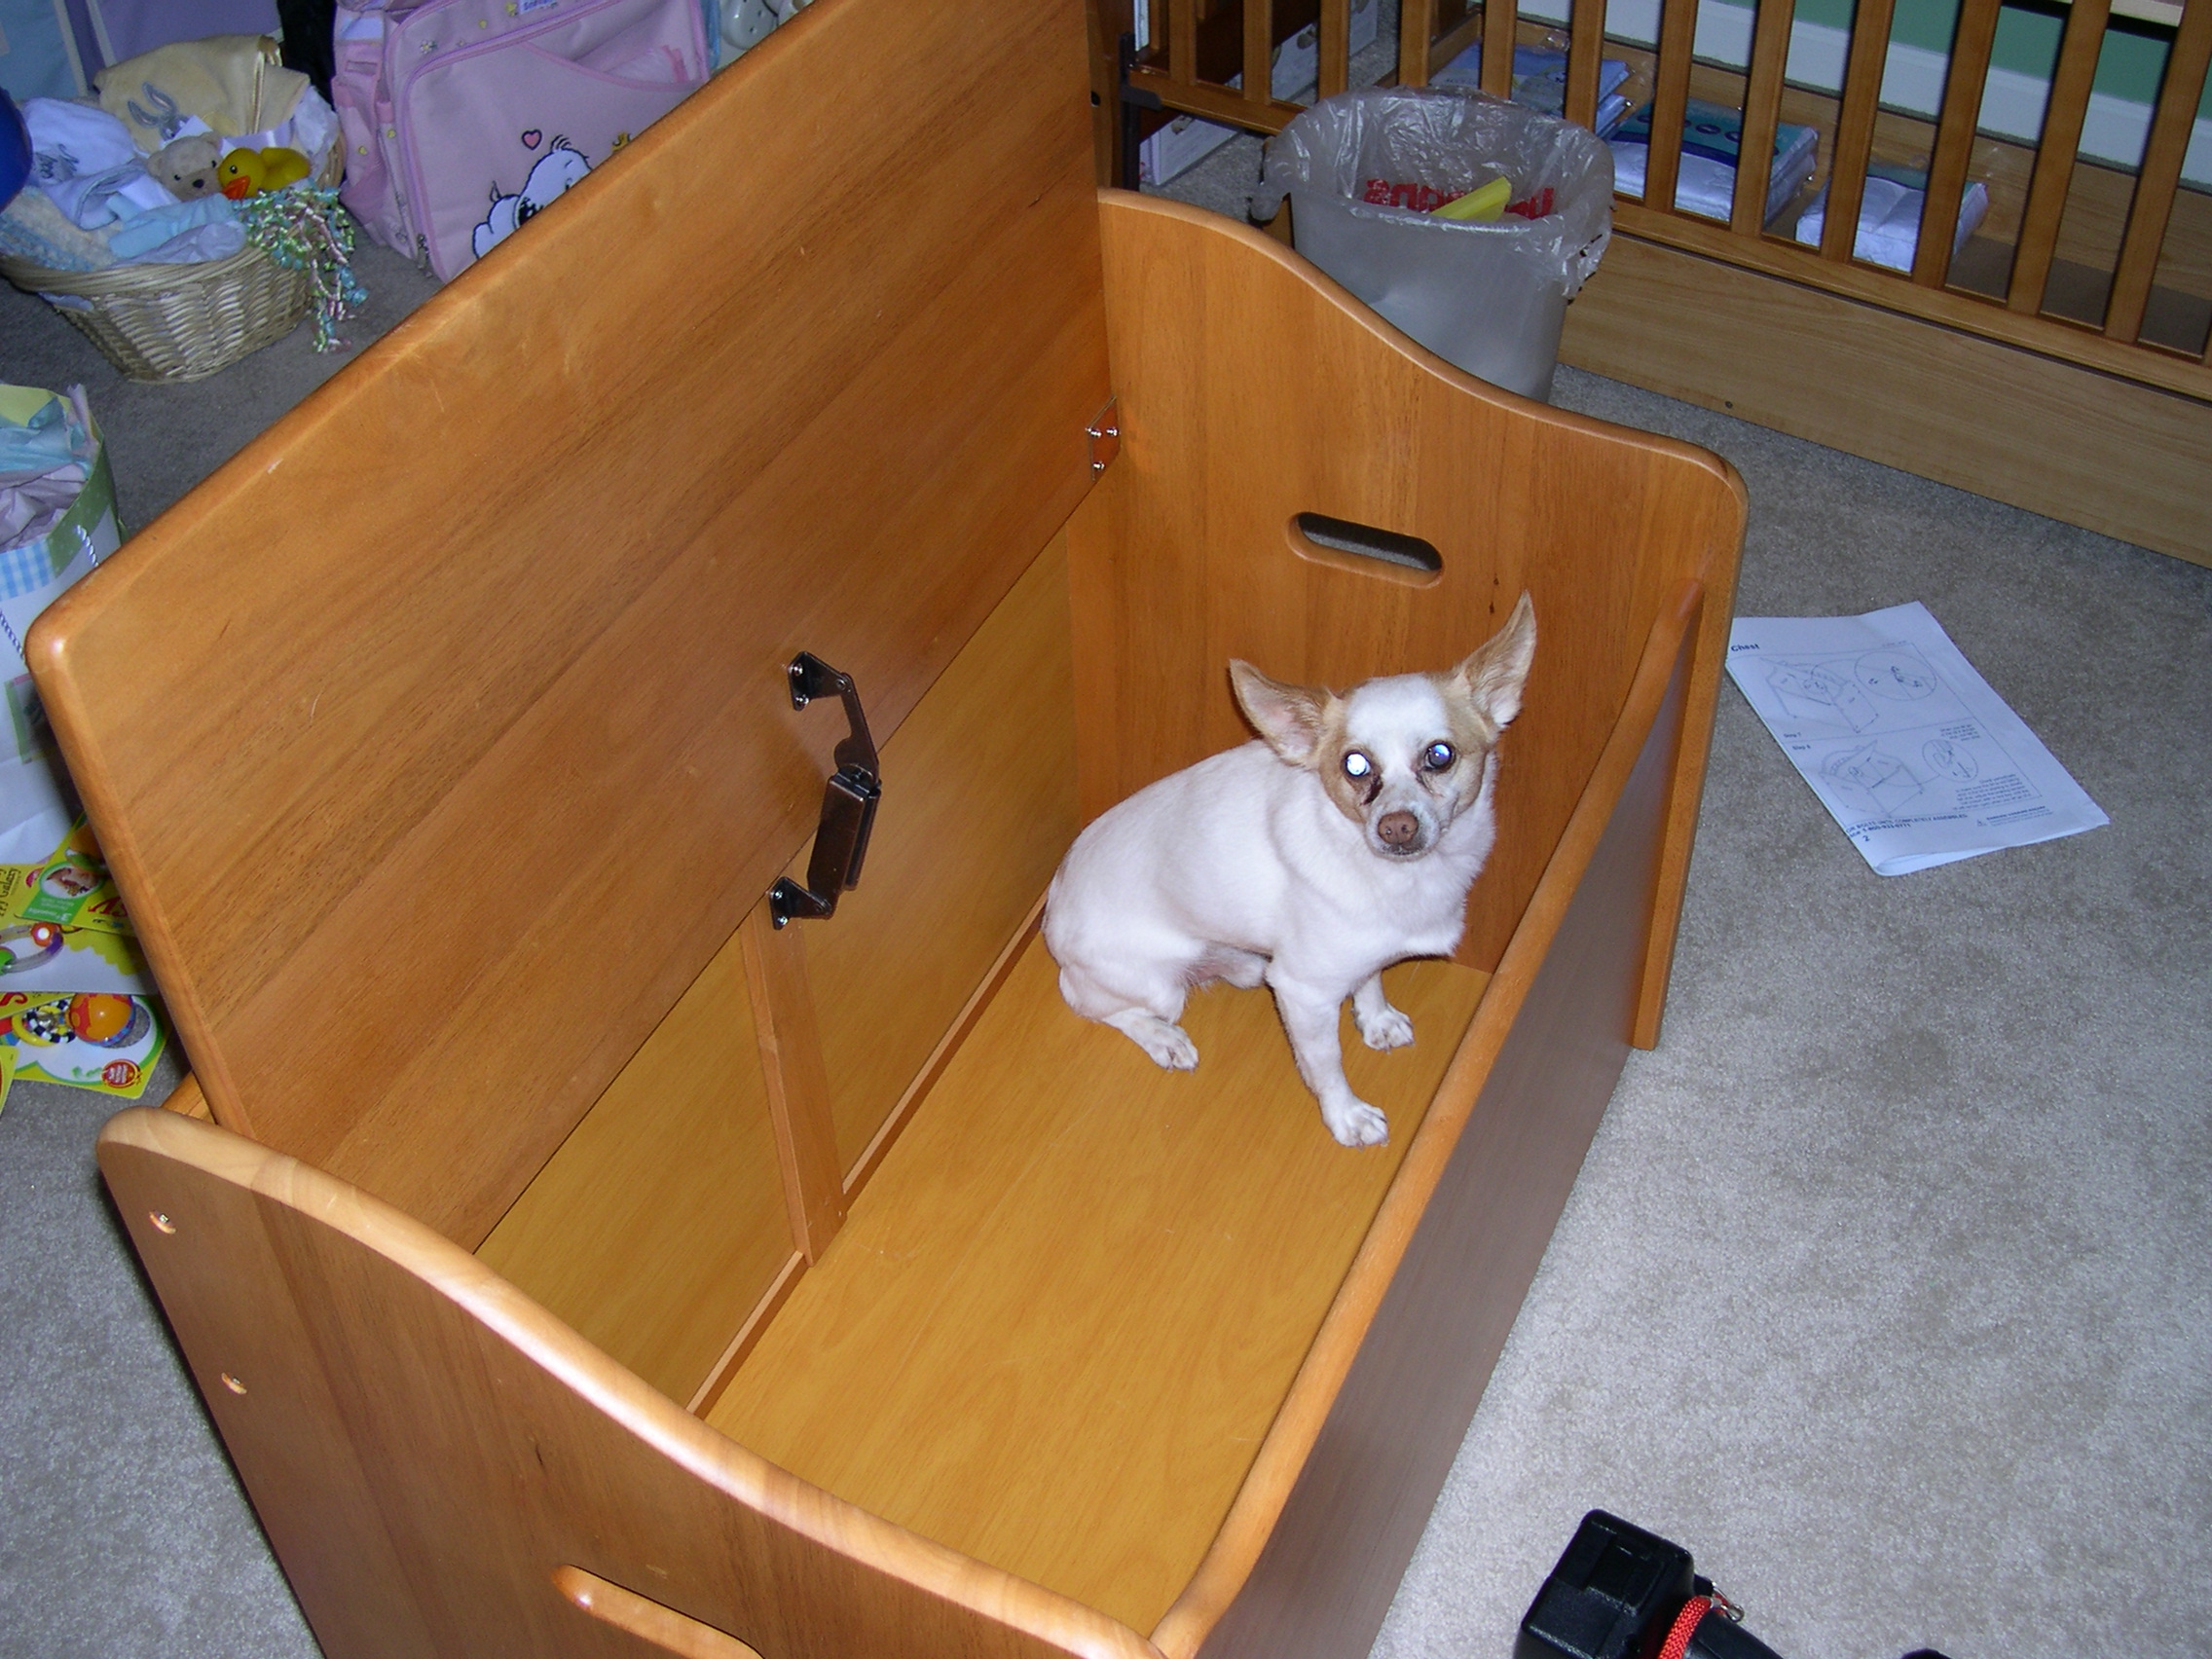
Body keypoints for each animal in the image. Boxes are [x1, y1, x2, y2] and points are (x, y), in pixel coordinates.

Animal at [1039, 592, 1539, 1150]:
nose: (1397, 826)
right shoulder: (1303, 993)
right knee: (1090, 1002)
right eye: (1355, 765)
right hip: (1155, 986)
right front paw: (1346, 1116)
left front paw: (1377, 1018)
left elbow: (1371, 976)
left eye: (1440, 755)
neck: (1404, 879)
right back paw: (1163, 1037)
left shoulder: (1360, 950)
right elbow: (1326, 1064)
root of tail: (1053, 905)